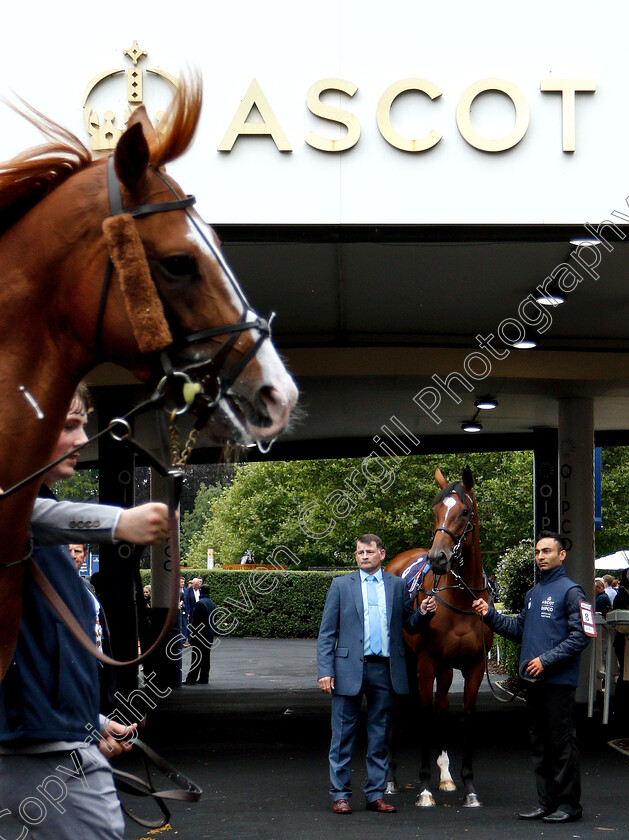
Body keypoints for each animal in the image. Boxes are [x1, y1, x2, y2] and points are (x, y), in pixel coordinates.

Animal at [386, 466, 494, 808]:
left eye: (465, 512)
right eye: (435, 511)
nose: (437, 558)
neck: (459, 599)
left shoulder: (474, 665)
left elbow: (465, 717)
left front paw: (469, 786)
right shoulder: (426, 662)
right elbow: (425, 715)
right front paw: (424, 788)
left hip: (447, 668)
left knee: (444, 704)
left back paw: (445, 777)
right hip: (406, 661)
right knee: (396, 710)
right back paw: (390, 779)